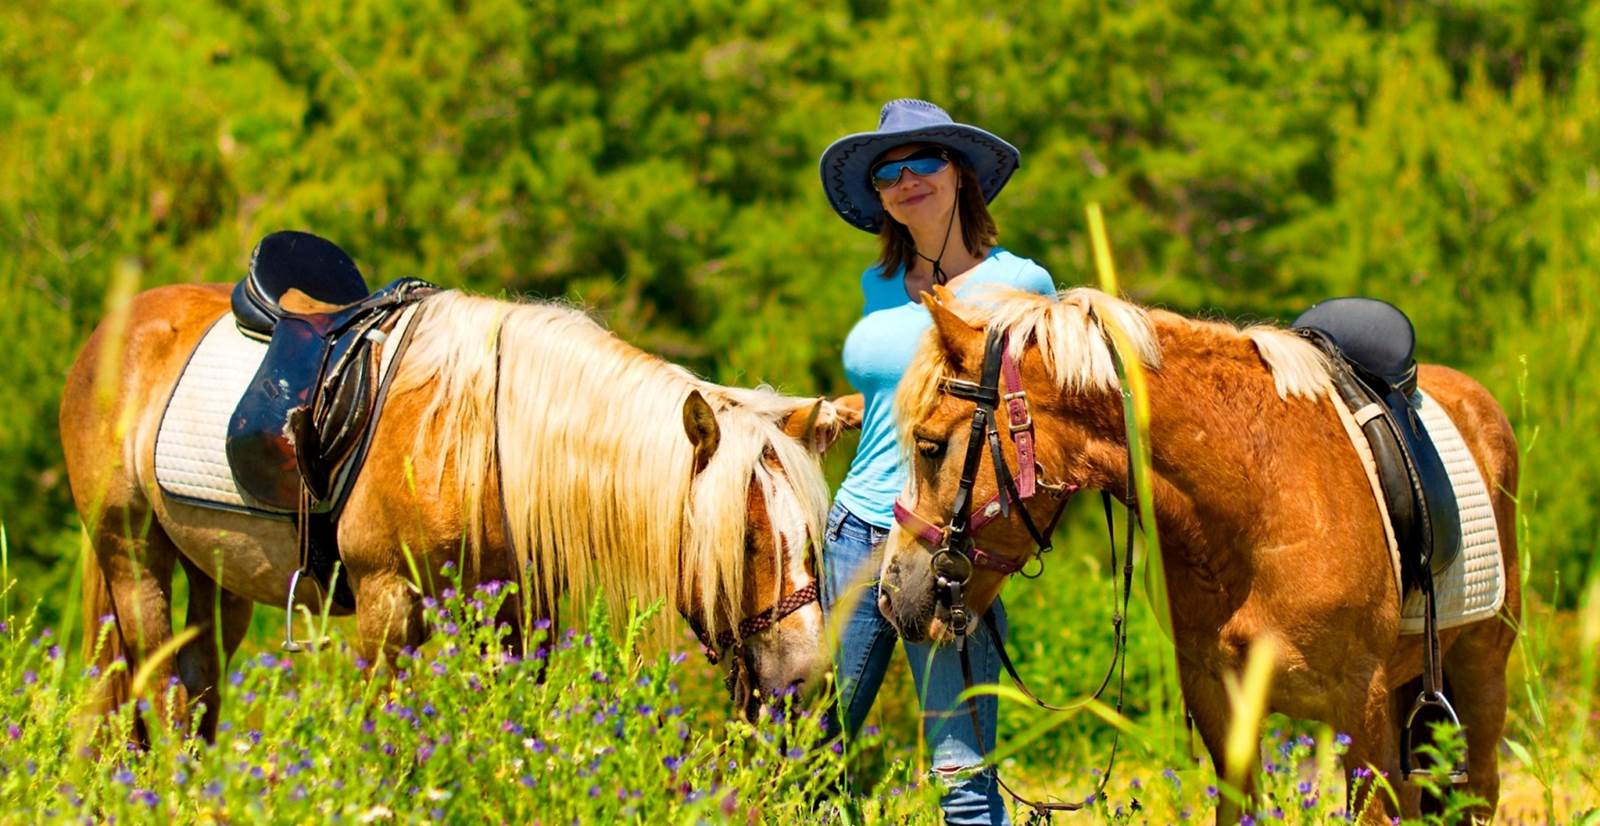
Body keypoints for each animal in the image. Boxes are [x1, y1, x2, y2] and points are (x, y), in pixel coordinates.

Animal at [62, 275, 851, 736]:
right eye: (744, 540)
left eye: (813, 538)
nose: (804, 679)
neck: (483, 443)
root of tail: (116, 326)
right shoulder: (388, 604)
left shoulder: (518, 611)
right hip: (132, 557)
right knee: (159, 696)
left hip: (216, 577)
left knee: (195, 693)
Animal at [883, 283, 1516, 819]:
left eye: (930, 446)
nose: (892, 593)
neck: (1260, 498)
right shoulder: (1218, 698)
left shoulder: (1361, 701)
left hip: (1479, 671)